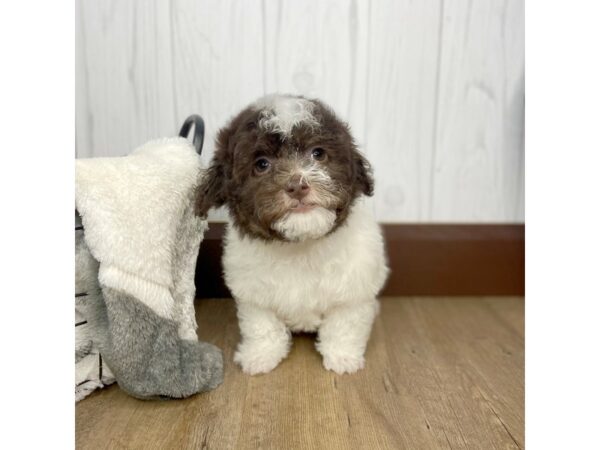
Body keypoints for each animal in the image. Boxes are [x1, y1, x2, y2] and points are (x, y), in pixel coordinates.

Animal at [197, 93, 390, 374]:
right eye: (262, 164)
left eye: (318, 153)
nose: (298, 185)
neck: (300, 245)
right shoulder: (253, 295)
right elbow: (261, 325)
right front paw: (260, 355)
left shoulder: (354, 290)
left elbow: (344, 324)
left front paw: (342, 357)